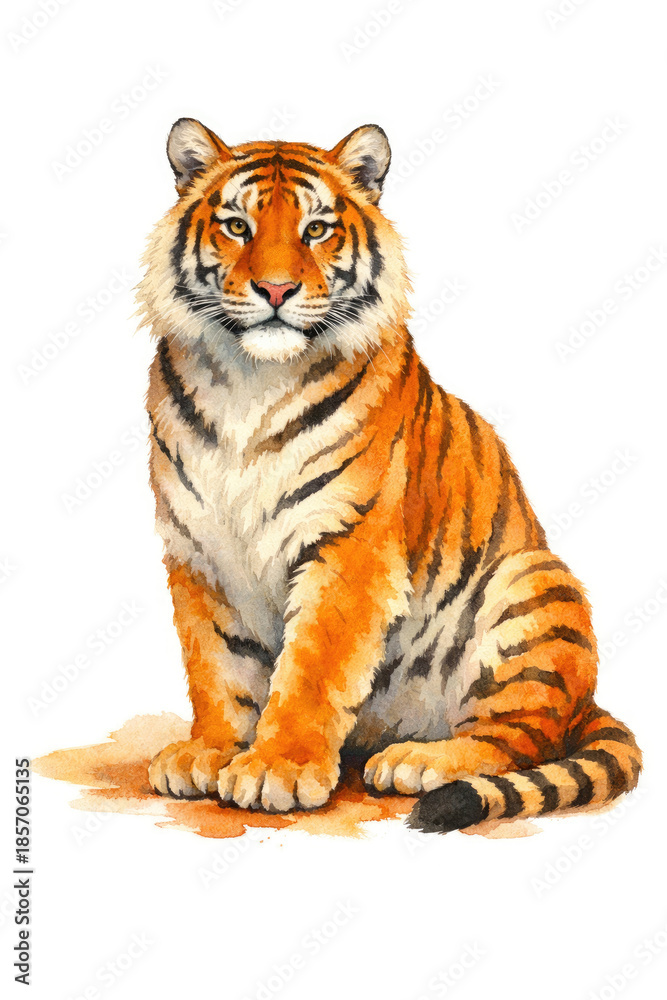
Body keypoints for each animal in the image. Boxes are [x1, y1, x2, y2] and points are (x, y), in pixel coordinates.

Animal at [137, 117, 641, 834]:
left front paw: (276, 767)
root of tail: (587, 704)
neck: (248, 381)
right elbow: (216, 664)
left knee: (518, 737)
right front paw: (210, 750)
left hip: (531, 585)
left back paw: (422, 761)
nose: (275, 291)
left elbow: (312, 667)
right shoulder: (198, 547)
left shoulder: (349, 544)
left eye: (316, 229)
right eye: (236, 225)